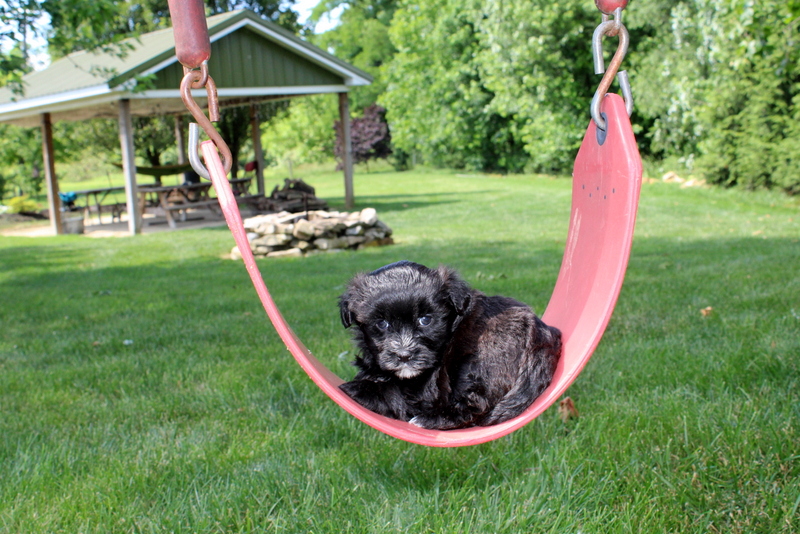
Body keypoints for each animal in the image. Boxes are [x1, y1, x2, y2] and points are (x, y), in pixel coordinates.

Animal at [340, 262, 564, 434]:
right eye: (382, 323)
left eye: (425, 320)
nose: (404, 355)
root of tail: (541, 332)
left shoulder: (420, 393)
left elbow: (390, 394)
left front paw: (354, 388)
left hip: (475, 363)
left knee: (475, 404)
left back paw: (428, 420)